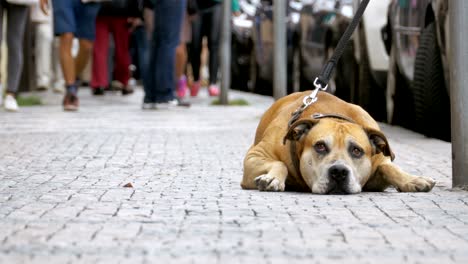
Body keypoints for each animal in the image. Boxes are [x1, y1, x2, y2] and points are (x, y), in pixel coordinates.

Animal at [241, 91, 436, 194]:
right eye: (320, 146)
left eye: (357, 150)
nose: (339, 172)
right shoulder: (254, 156)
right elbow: (279, 164)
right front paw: (271, 178)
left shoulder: (380, 161)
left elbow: (388, 167)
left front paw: (412, 180)